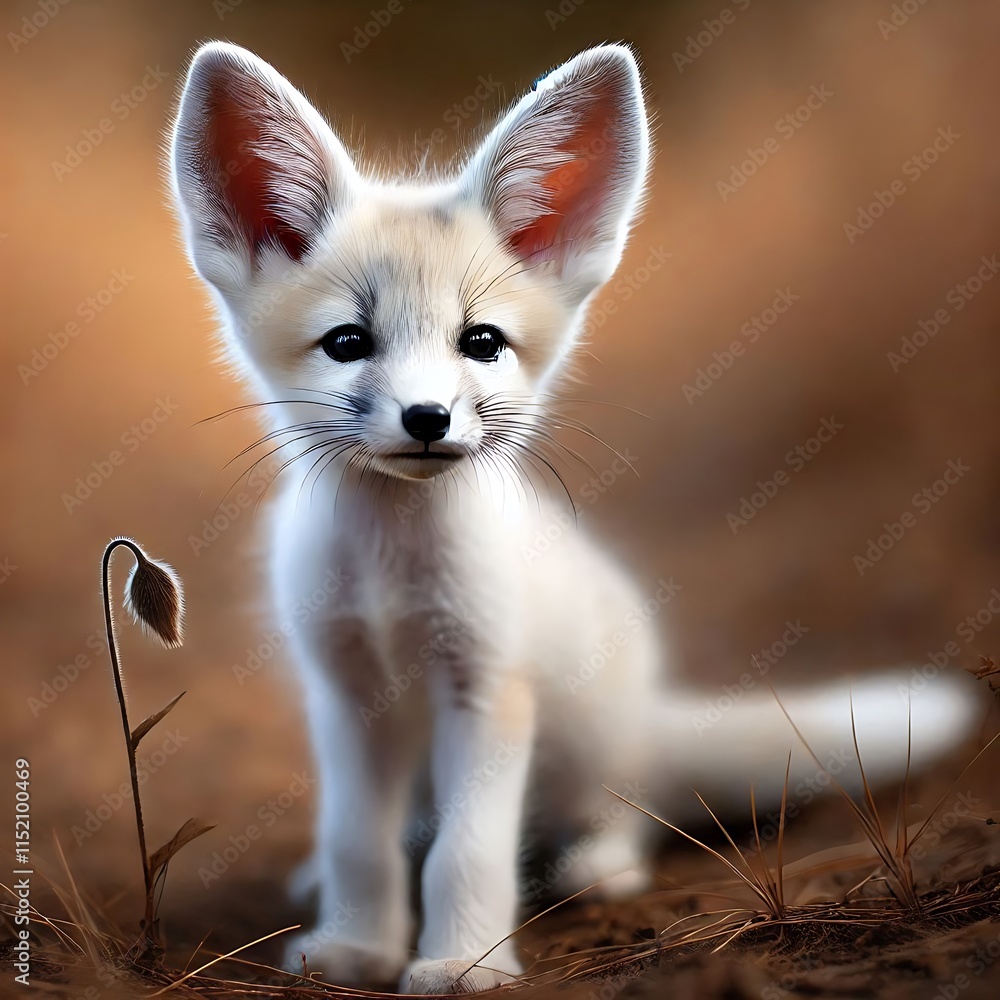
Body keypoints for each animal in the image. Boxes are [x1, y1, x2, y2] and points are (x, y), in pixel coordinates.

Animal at [169, 41, 981, 994]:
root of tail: (653, 713)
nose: (427, 419)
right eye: (347, 344)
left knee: (624, 811)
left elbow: (467, 853)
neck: (391, 579)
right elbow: (356, 844)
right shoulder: (349, 694)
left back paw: (599, 865)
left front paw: (463, 964)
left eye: (480, 343)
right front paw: (358, 949)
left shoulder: (489, 688)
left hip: (595, 738)